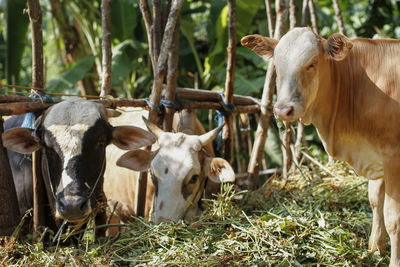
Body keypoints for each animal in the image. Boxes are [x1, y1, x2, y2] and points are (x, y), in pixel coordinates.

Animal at [241, 28, 400, 266]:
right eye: (276, 66)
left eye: (312, 63)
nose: (283, 110)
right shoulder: (376, 155)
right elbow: (375, 201)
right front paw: (375, 249)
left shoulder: (392, 156)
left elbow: (393, 218)